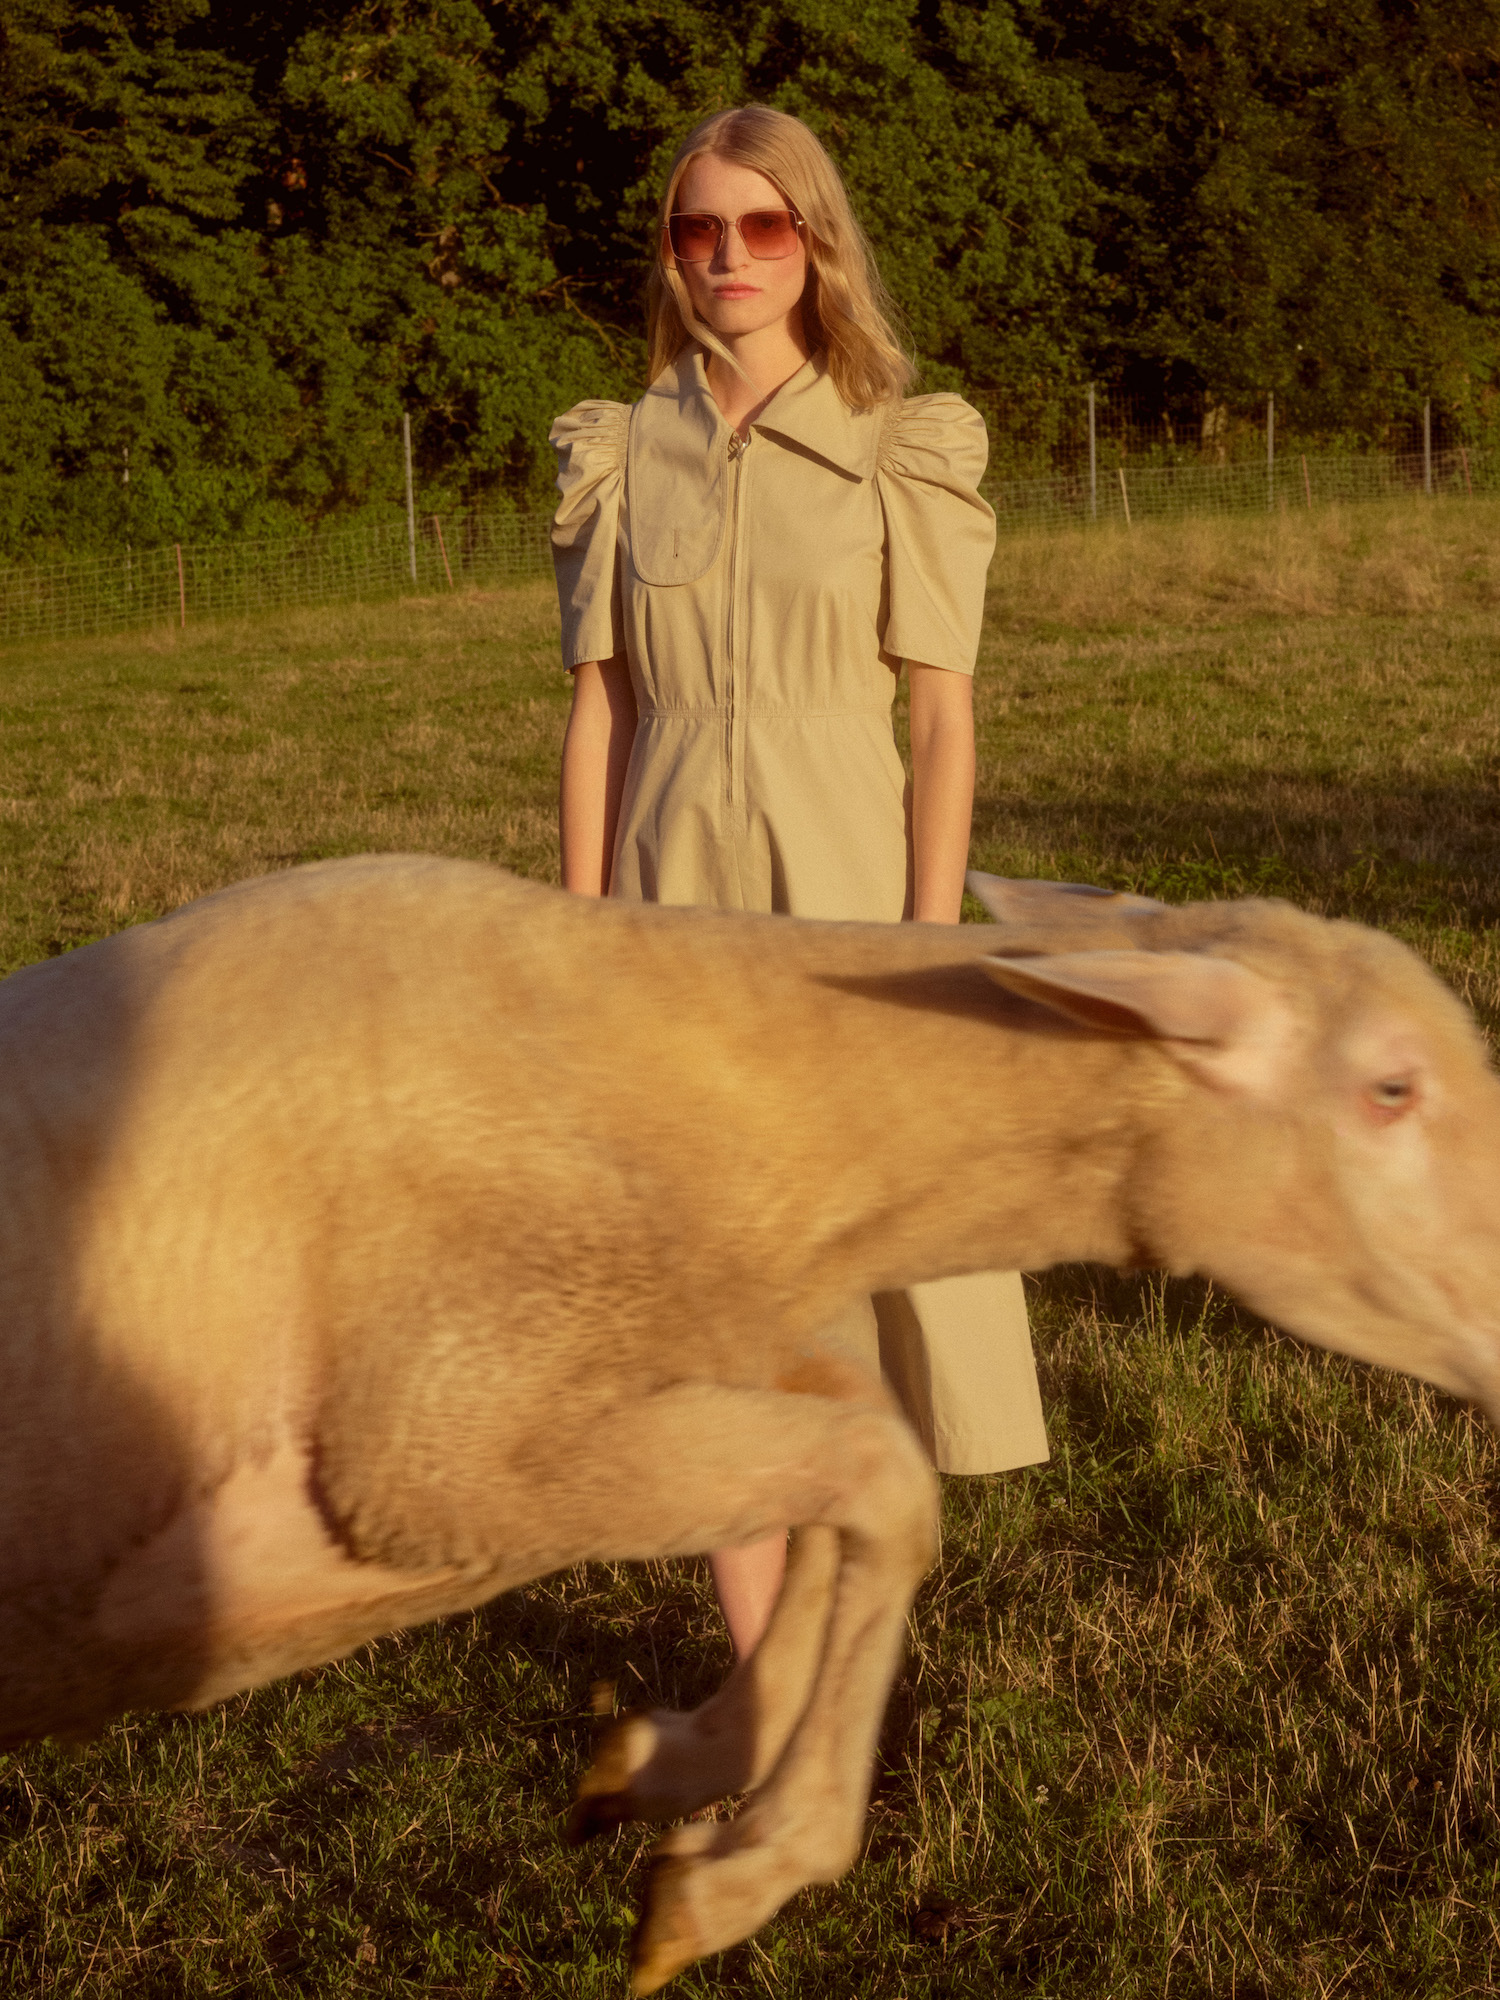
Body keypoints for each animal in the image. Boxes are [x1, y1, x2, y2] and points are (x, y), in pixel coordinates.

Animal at [1, 851, 1497, 1993]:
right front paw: (747, 1868)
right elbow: (882, 1475)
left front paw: (675, 1764)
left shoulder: (668, 1360)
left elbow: (858, 1468)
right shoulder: (439, 1447)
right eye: (1391, 1088)